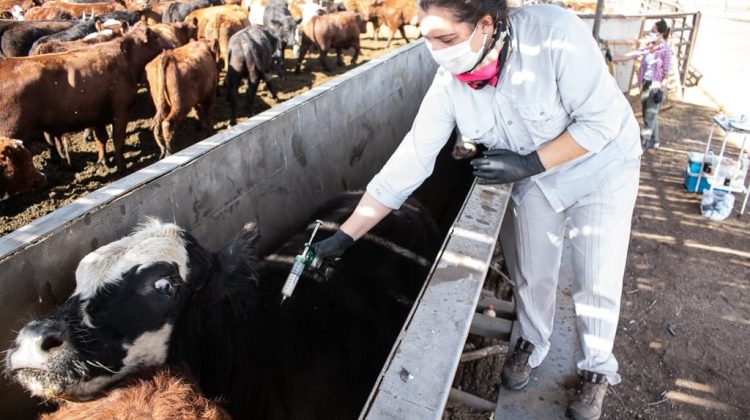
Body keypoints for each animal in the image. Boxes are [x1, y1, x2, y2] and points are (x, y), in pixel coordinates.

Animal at [0, 22, 173, 171]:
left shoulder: (98, 114)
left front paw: (104, 160)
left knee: (50, 140)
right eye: (156, 36)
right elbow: (118, 139)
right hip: (10, 131)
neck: (125, 58)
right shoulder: (121, 110)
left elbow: (101, 138)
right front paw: (121, 167)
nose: (172, 45)